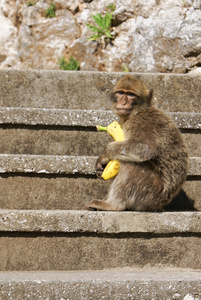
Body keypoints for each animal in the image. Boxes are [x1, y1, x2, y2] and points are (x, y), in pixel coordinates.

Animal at [86, 74, 188, 211]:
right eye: (121, 93)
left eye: (131, 95)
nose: (123, 102)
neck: (137, 112)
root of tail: (161, 204)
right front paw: (103, 160)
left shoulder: (138, 123)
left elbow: (146, 149)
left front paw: (108, 151)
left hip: (149, 194)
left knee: (132, 163)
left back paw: (113, 205)